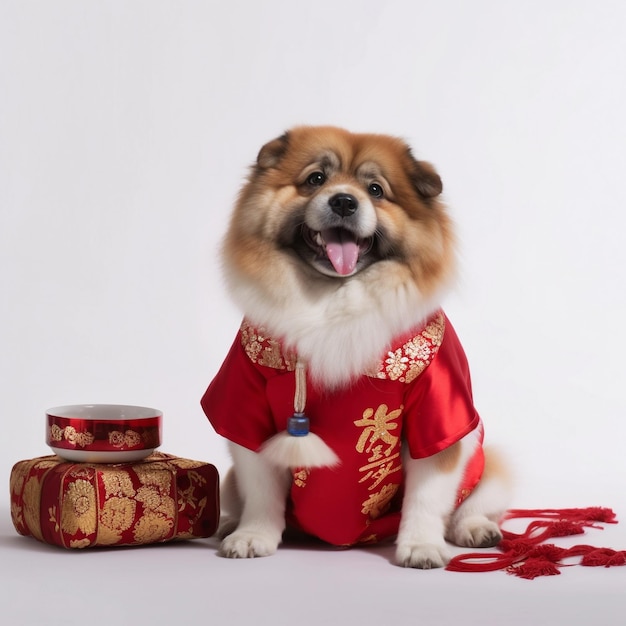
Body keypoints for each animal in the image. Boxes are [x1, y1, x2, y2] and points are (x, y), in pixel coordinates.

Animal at [202, 125, 510, 564]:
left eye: (376, 189)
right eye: (315, 179)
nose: (345, 201)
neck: (332, 297)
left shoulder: (437, 416)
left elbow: (426, 497)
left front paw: (420, 545)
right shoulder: (245, 405)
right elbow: (262, 493)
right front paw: (252, 535)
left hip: (485, 468)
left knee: (471, 504)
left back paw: (474, 529)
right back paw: (229, 523)